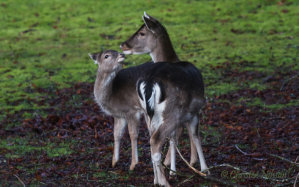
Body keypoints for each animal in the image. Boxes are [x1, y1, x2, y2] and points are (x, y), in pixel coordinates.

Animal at [120, 12, 209, 175]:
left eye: (142, 32)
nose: (123, 44)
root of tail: (151, 82)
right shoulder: (193, 110)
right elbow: (191, 134)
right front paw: (200, 167)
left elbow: (178, 136)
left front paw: (176, 165)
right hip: (172, 110)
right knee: (159, 138)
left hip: (151, 113)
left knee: (155, 138)